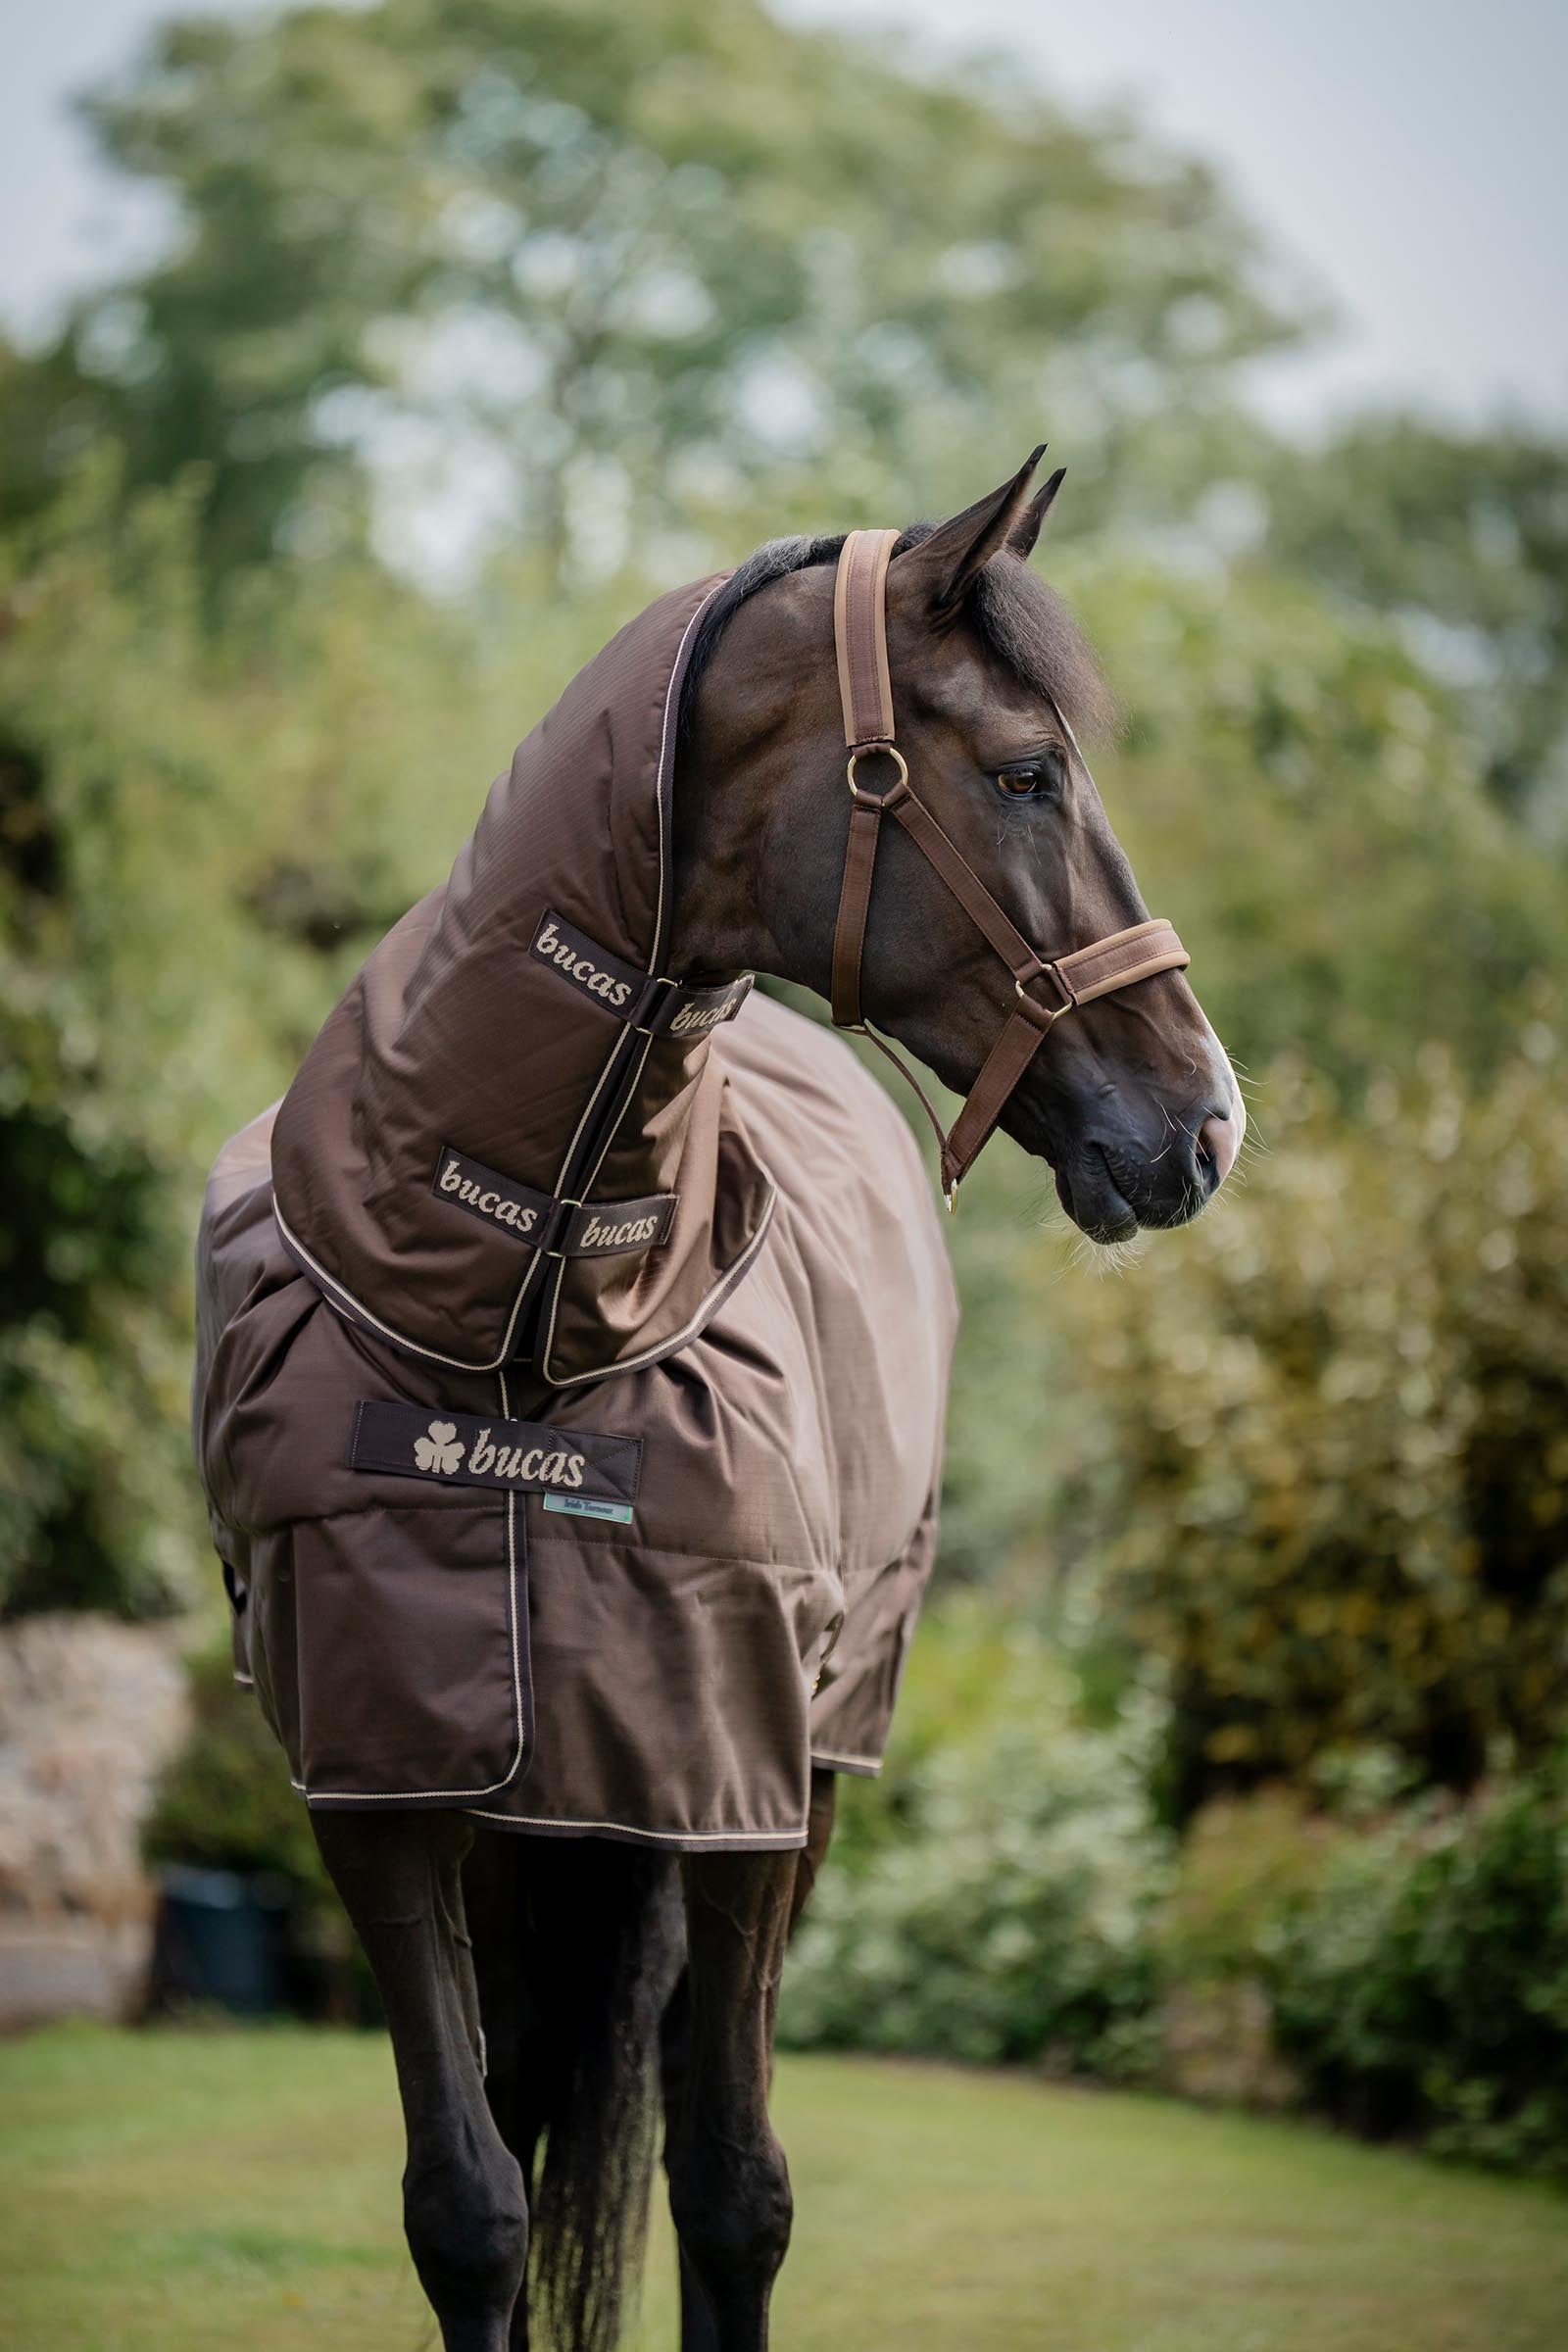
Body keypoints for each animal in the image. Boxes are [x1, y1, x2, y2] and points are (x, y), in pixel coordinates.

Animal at [192, 448, 1241, 2351]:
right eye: (1027, 771)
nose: (1206, 1124)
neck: (534, 1345)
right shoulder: (377, 1781)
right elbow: (470, 2206)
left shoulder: (743, 1776)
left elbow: (736, 2190)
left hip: (797, 1765)